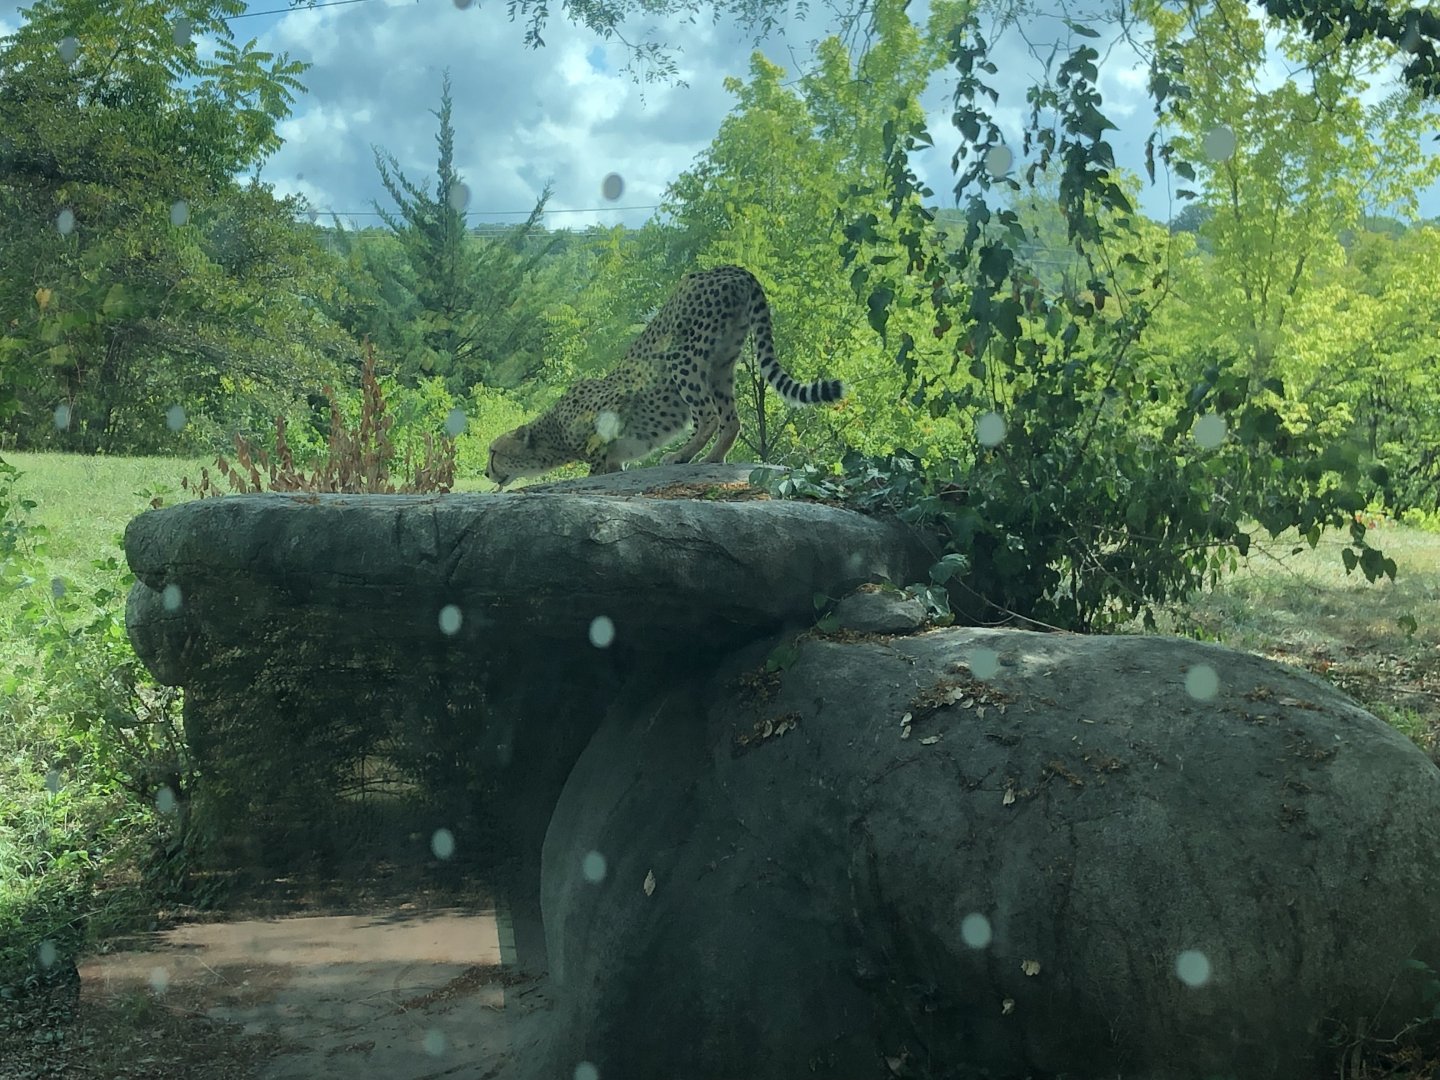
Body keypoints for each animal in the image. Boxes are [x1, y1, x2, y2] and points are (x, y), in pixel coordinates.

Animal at [485, 265, 845, 487]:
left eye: (494, 453)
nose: (485, 472)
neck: (554, 433)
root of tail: (729, 268)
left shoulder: (615, 400)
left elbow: (599, 450)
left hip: (681, 358)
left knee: (709, 415)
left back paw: (682, 455)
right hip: (721, 365)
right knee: (730, 419)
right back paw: (713, 458)